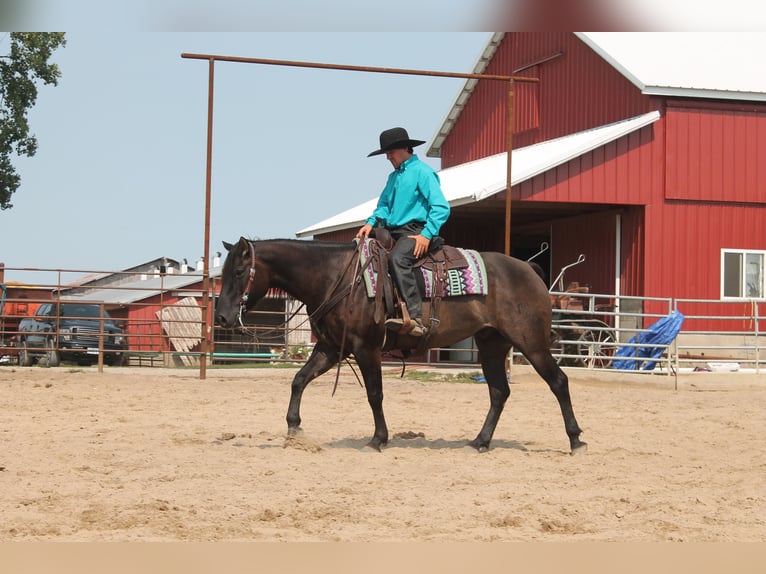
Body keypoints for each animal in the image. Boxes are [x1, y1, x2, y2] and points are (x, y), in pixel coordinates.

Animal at [213, 236, 584, 456]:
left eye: (240, 271)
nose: (223, 317)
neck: (336, 277)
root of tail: (529, 268)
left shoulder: (366, 348)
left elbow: (374, 394)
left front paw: (379, 438)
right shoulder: (331, 348)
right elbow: (299, 380)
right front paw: (294, 428)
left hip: (531, 344)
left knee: (558, 382)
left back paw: (576, 440)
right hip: (492, 344)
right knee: (498, 392)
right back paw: (480, 441)